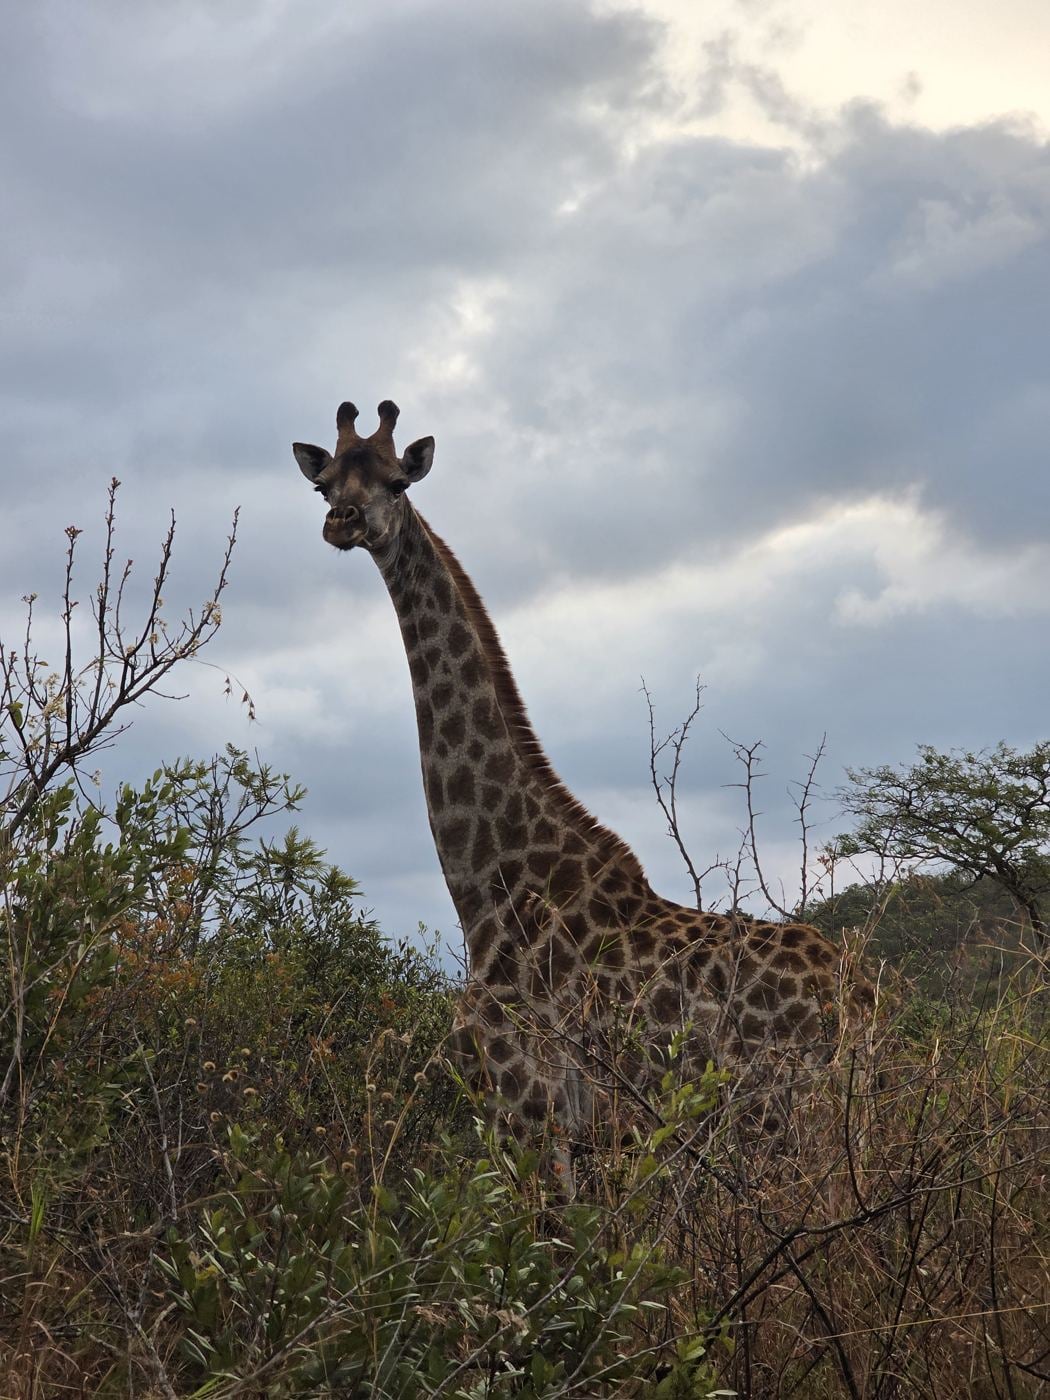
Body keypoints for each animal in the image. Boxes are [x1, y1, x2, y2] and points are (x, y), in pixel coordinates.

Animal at [293, 399, 873, 1159]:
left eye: (397, 483)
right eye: (324, 485)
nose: (343, 522)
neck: (489, 888)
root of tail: (861, 1000)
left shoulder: (527, 1104)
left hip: (783, 1115)